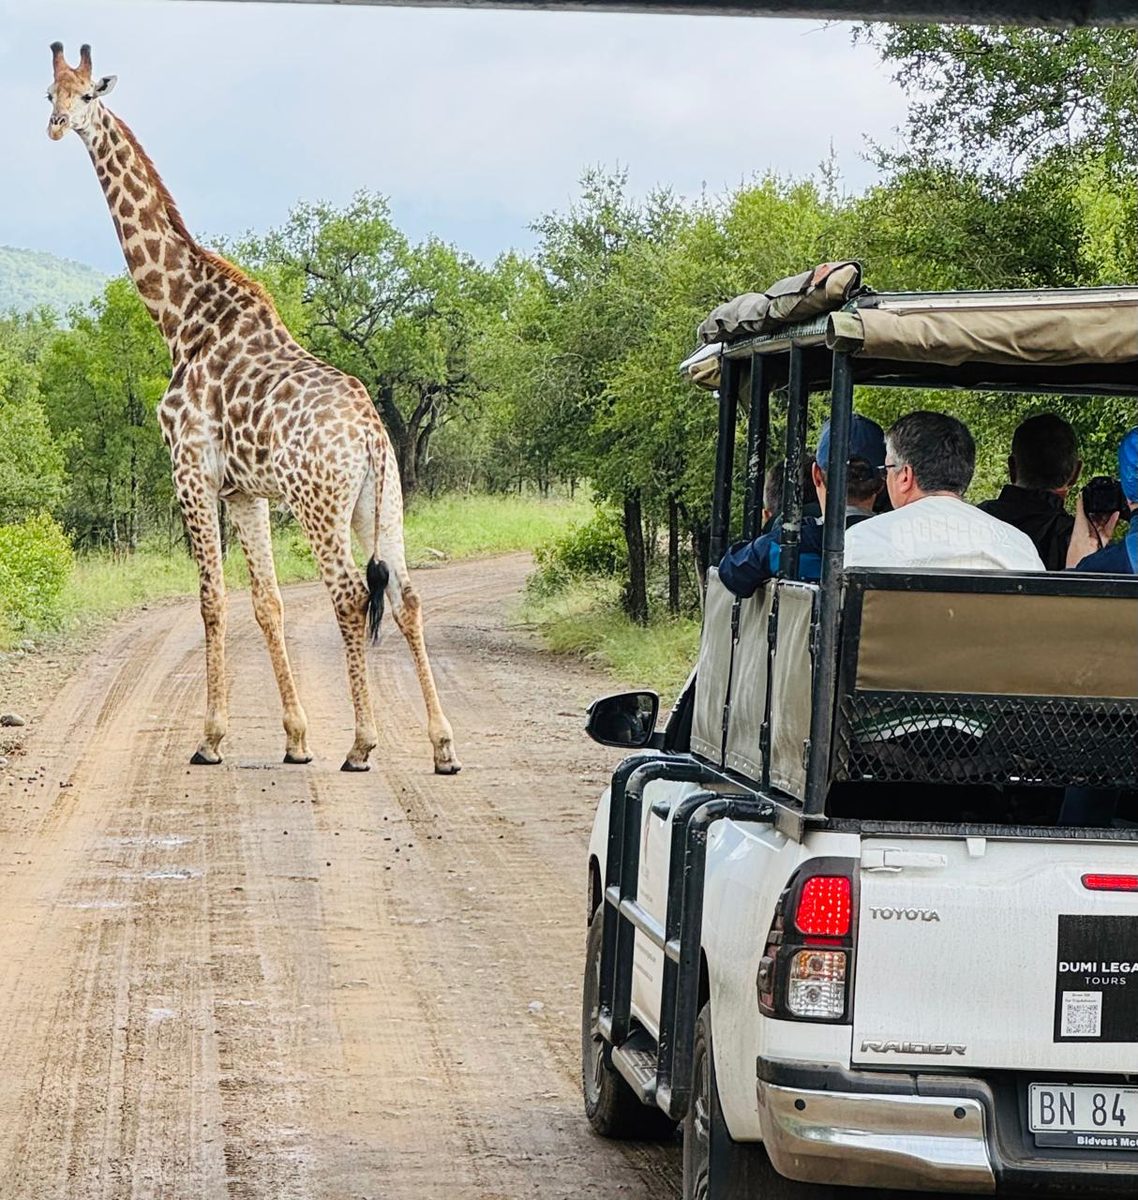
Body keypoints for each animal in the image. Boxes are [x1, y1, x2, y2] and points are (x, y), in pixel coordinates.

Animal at [46, 42, 461, 775]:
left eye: (89, 94)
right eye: (49, 93)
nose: (59, 125)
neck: (179, 316)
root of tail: (372, 435)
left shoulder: (191, 472)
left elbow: (212, 602)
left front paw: (211, 739)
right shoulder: (245, 491)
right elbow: (267, 603)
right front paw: (294, 739)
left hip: (321, 504)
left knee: (352, 596)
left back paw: (362, 744)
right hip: (379, 502)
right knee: (407, 596)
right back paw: (442, 748)